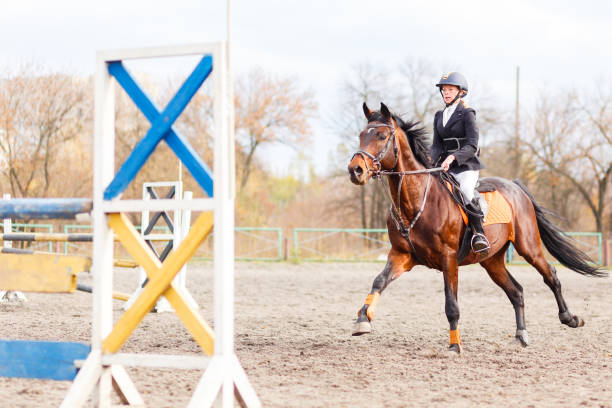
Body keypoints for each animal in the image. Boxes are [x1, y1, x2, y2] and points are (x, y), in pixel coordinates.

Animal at [346, 100, 604, 352]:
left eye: (381, 136)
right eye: (361, 135)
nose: (355, 170)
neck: (416, 200)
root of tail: (516, 187)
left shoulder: (448, 257)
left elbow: (451, 304)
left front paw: (454, 345)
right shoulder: (402, 255)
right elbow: (379, 282)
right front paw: (362, 320)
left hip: (528, 246)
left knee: (551, 276)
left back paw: (570, 318)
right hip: (491, 260)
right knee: (516, 291)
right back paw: (521, 335)